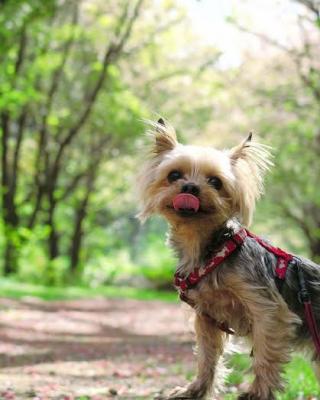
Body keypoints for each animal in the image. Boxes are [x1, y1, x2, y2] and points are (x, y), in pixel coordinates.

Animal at [137, 119, 320, 400]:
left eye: (216, 181)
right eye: (174, 175)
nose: (190, 188)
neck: (211, 250)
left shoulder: (267, 309)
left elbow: (265, 355)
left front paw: (258, 392)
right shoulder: (206, 317)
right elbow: (207, 358)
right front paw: (196, 390)